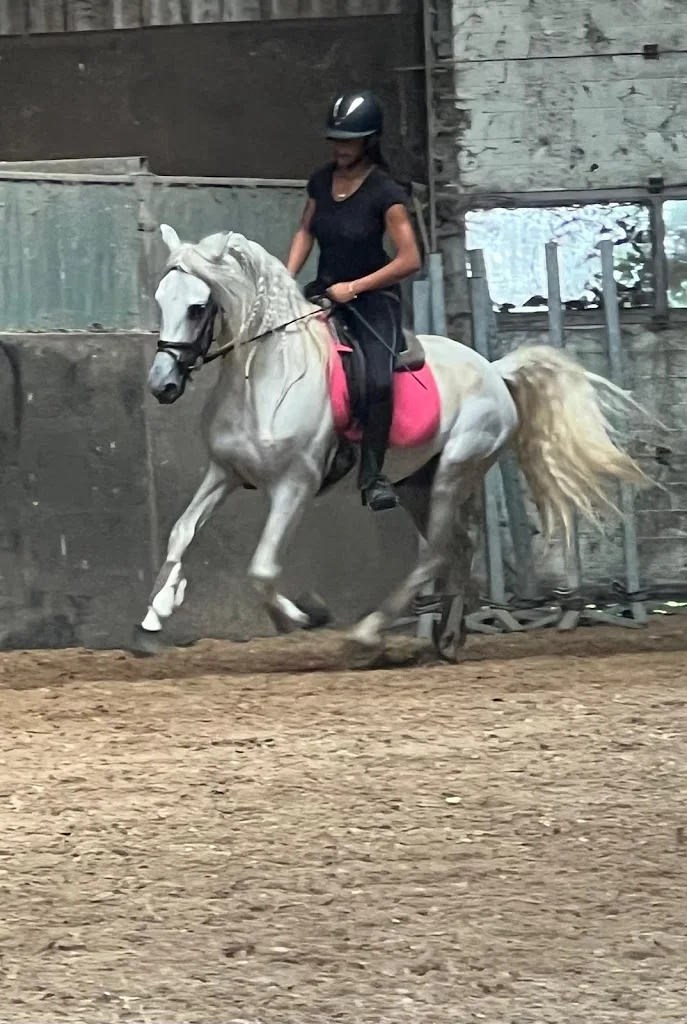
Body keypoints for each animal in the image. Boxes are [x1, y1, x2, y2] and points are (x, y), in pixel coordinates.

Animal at [133, 223, 649, 661]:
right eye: (161, 299)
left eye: (198, 307)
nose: (162, 385)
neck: (266, 377)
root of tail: (494, 371)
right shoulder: (224, 473)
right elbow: (181, 532)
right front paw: (157, 610)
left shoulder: (293, 486)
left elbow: (261, 570)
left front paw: (306, 614)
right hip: (415, 483)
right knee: (459, 546)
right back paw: (448, 637)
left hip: (454, 470)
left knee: (438, 551)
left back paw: (368, 634)